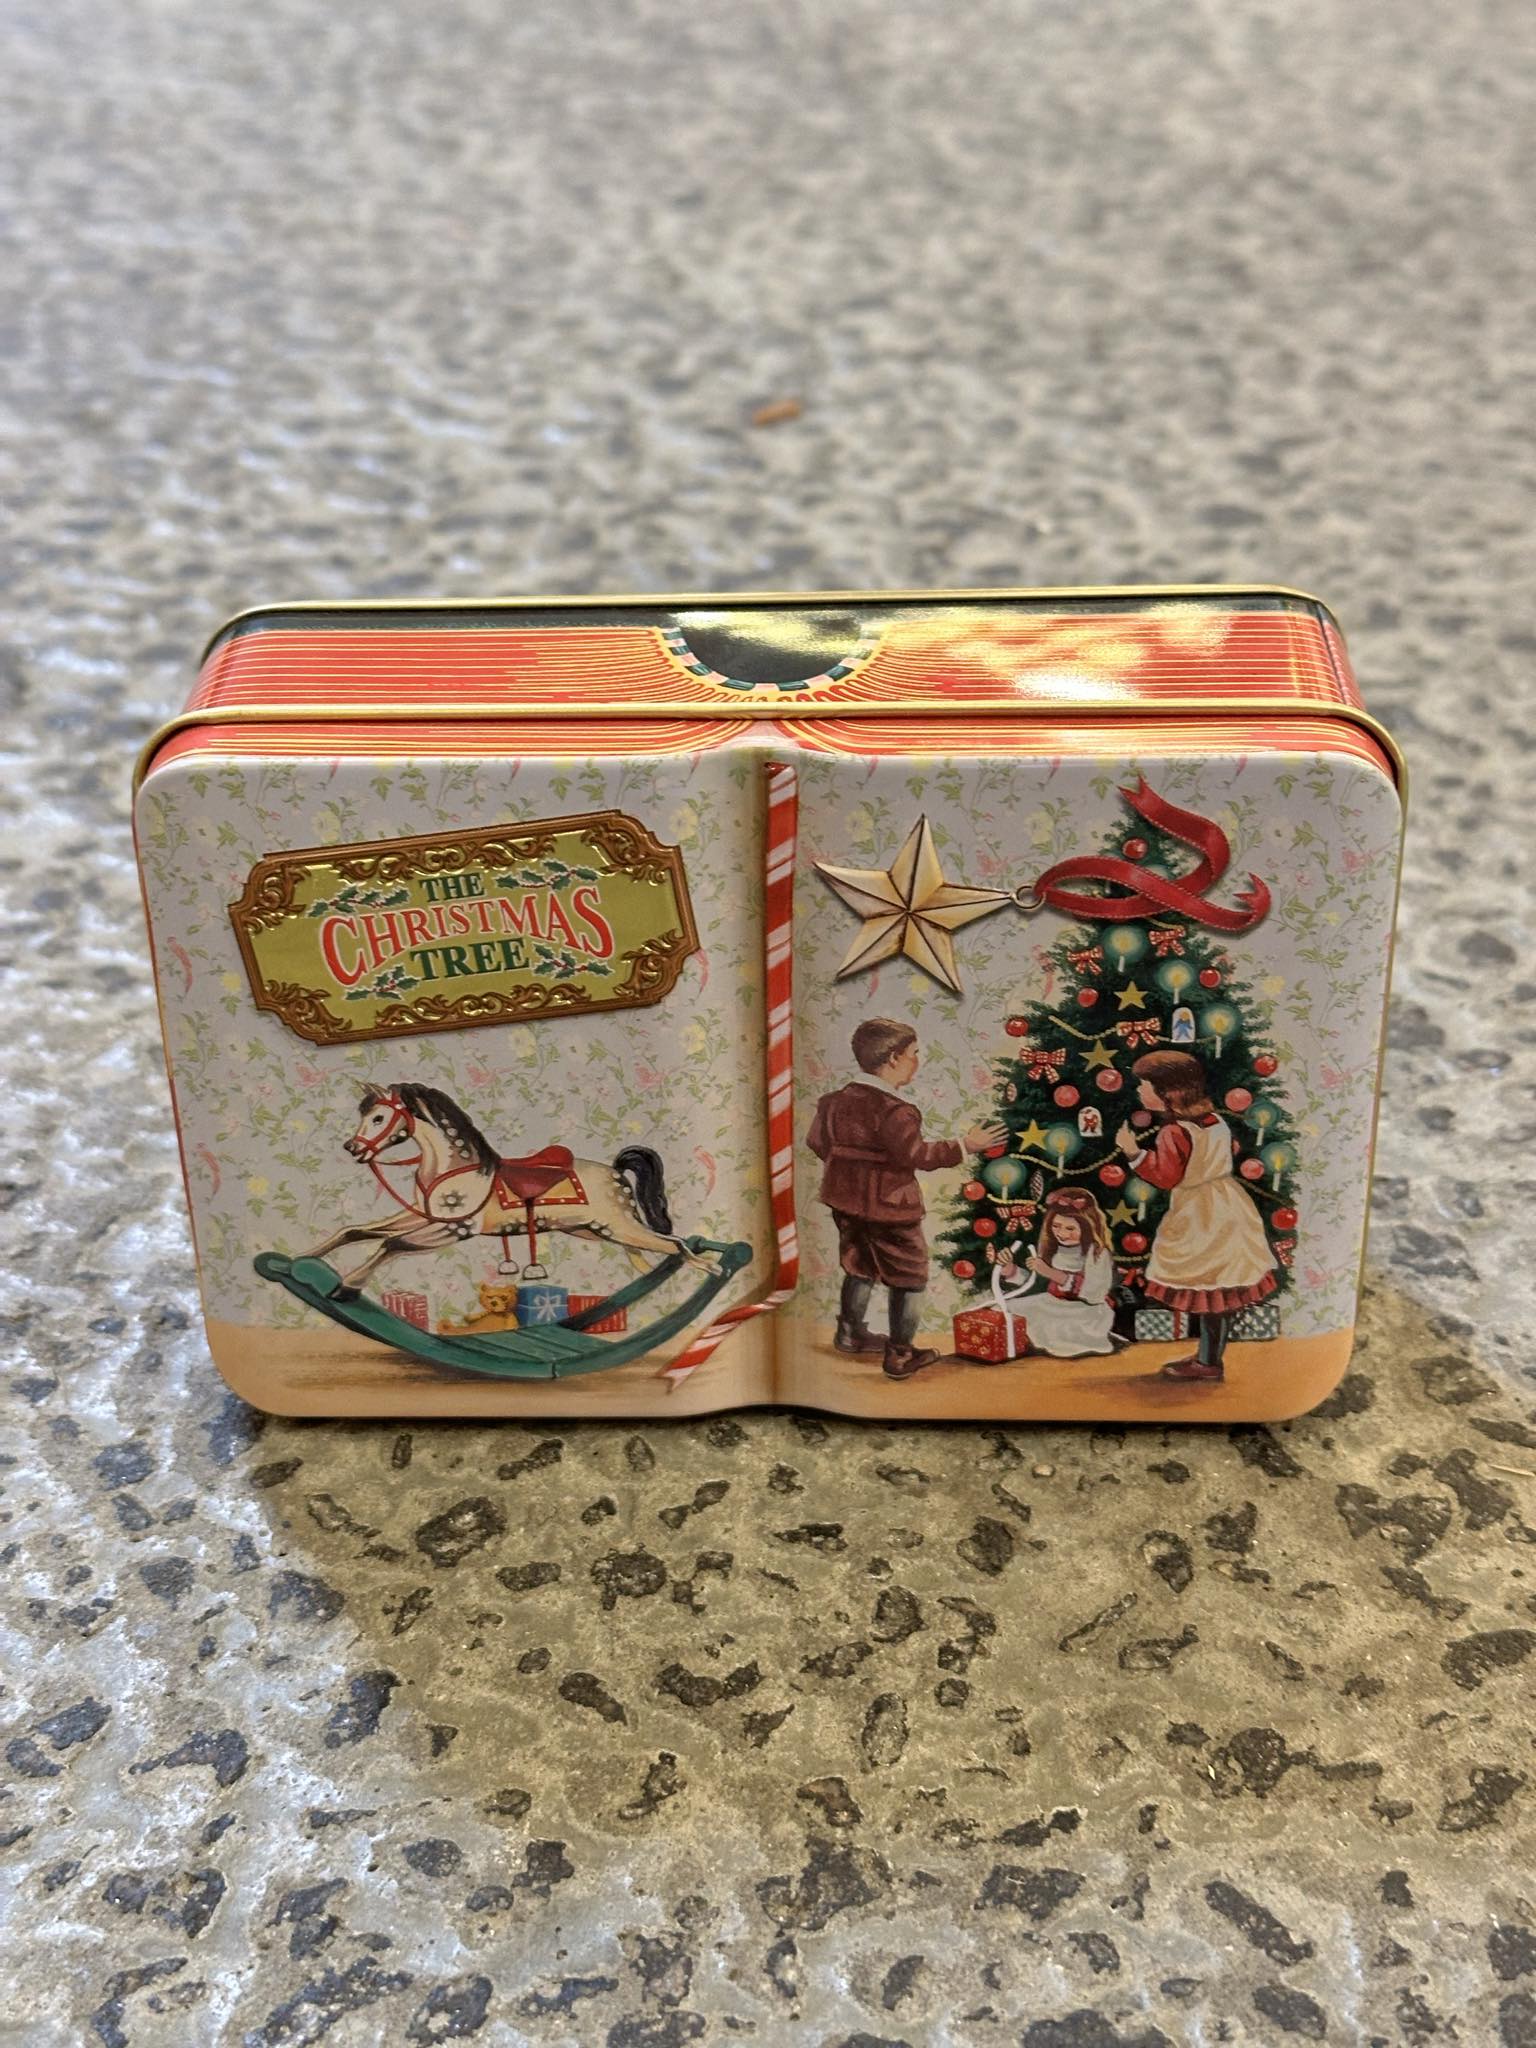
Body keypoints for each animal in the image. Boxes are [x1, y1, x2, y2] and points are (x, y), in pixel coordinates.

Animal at [303, 1082, 715, 1297]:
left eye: (378, 1117)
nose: (353, 1149)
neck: (456, 1169)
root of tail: (614, 1171)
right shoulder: (421, 1216)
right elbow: (356, 1231)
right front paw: (307, 1257)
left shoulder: (455, 1229)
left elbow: (391, 1244)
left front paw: (347, 1286)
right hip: (597, 1231)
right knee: (650, 1253)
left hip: (619, 1227)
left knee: (676, 1245)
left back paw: (713, 1269)